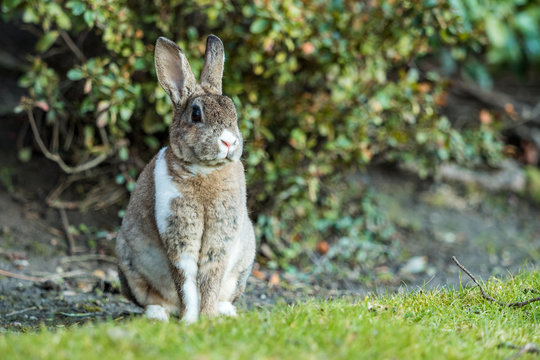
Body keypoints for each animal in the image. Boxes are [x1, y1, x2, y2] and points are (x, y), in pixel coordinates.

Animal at [113, 34, 255, 324]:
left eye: (233, 111)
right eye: (196, 114)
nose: (229, 141)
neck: (205, 170)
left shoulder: (220, 237)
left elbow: (210, 276)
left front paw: (208, 317)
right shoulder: (178, 233)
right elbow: (186, 278)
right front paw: (191, 320)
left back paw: (226, 310)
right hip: (128, 265)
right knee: (155, 300)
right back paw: (159, 315)